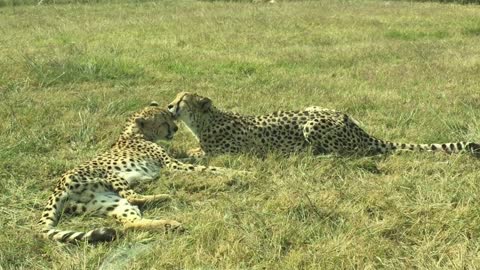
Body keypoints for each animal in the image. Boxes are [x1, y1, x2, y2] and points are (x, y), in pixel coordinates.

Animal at [40, 102, 234, 245]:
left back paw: (169, 224)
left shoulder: (172, 160)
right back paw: (164, 196)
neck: (134, 134)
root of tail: (57, 188)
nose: (176, 129)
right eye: (164, 122)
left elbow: (194, 159)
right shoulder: (171, 164)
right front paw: (235, 173)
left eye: (170, 116)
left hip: (107, 201)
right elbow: (206, 168)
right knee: (132, 196)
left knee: (130, 223)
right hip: (109, 174)